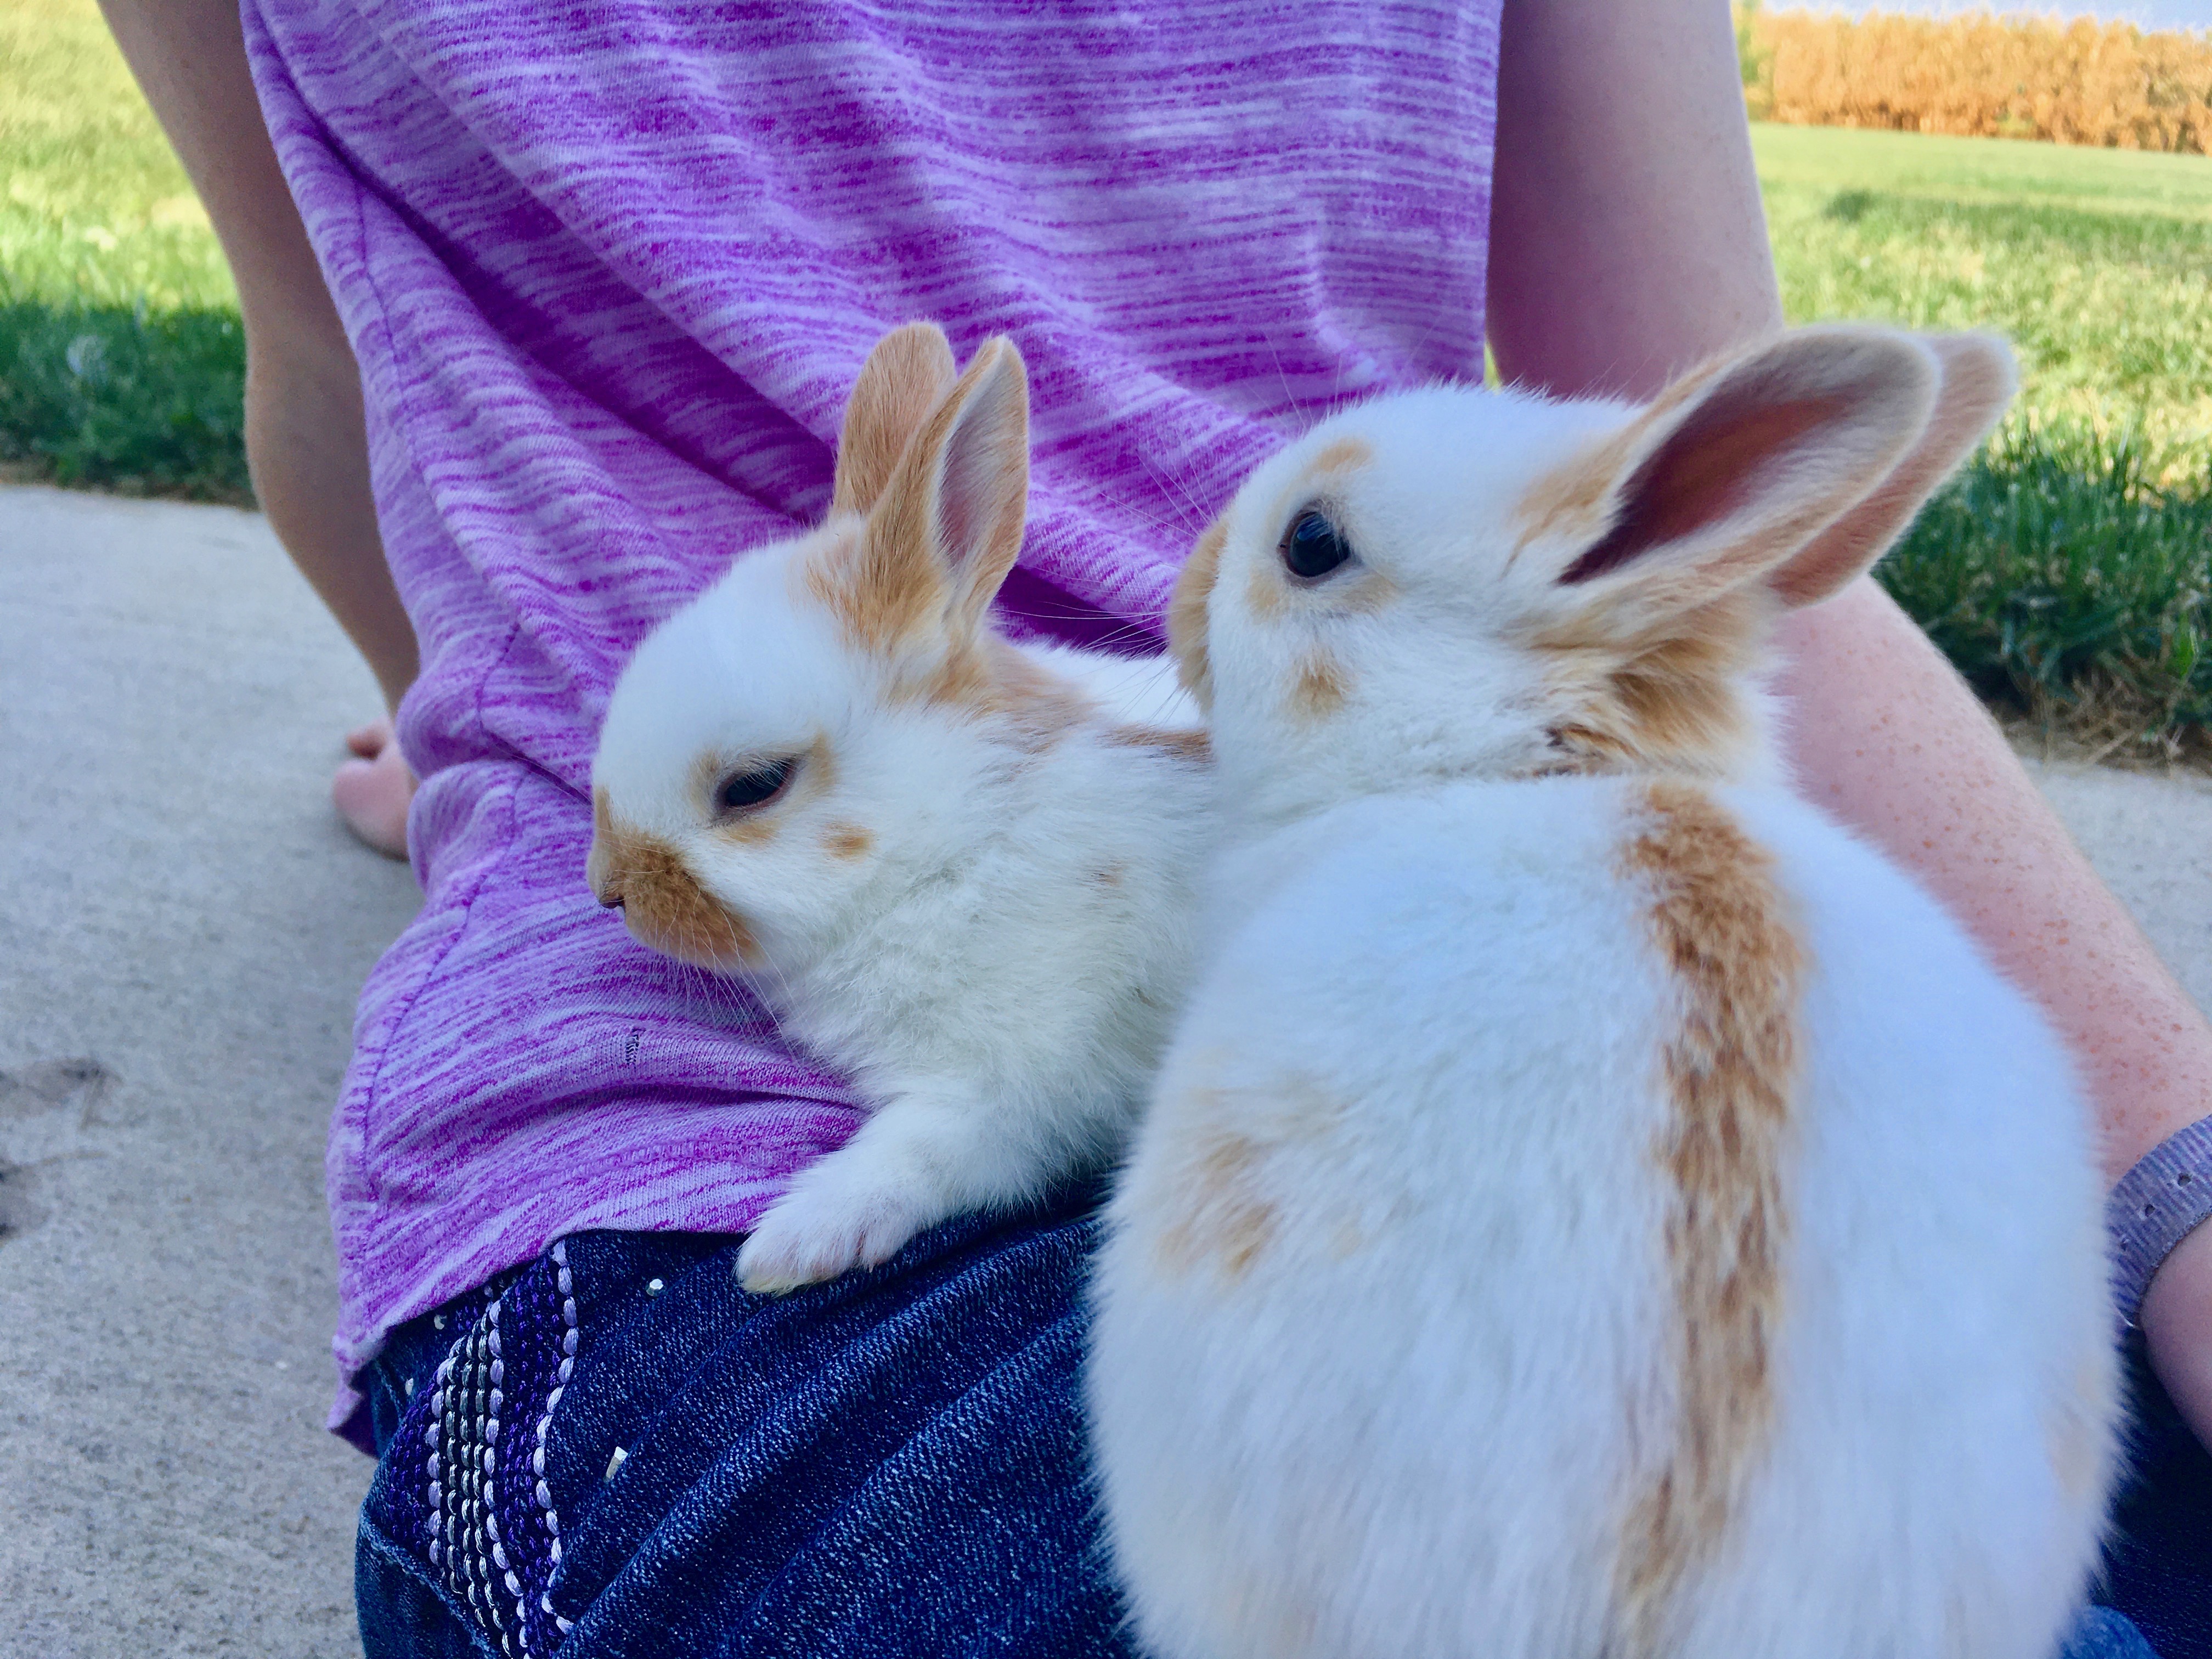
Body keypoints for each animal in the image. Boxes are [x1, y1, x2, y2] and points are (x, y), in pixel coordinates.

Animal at [589, 322, 1212, 1294]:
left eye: (755, 785)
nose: (608, 888)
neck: (965, 833)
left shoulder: (1012, 1086)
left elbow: (912, 1154)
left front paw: (790, 1246)